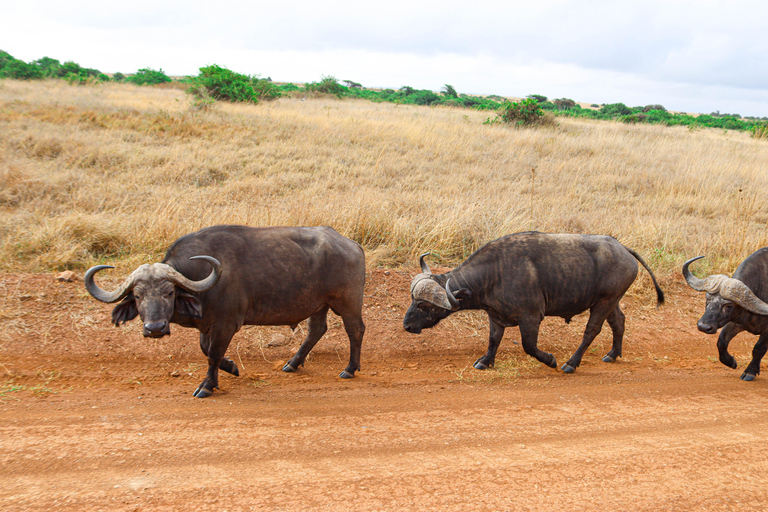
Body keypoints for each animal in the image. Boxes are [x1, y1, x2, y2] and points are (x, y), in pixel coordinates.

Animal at [85, 226, 368, 398]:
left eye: (169, 292)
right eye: (138, 295)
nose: (154, 328)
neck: (200, 277)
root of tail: (351, 244)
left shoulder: (226, 324)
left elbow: (212, 354)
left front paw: (207, 386)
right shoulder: (207, 324)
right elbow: (206, 350)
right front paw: (231, 367)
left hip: (347, 302)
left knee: (355, 330)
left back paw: (350, 369)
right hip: (318, 305)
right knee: (316, 330)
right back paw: (292, 363)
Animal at [404, 232, 664, 372]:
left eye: (424, 305)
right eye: (412, 299)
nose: (406, 326)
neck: (495, 273)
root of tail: (623, 249)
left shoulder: (530, 318)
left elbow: (529, 346)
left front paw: (550, 360)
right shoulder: (495, 317)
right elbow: (493, 341)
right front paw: (485, 361)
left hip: (604, 302)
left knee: (591, 331)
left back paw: (571, 363)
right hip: (611, 301)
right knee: (619, 322)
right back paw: (613, 354)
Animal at [684, 248, 768, 380]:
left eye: (728, 306)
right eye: (707, 299)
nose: (703, 326)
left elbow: (759, 348)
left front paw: (750, 372)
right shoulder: (736, 321)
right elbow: (722, 342)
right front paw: (731, 362)